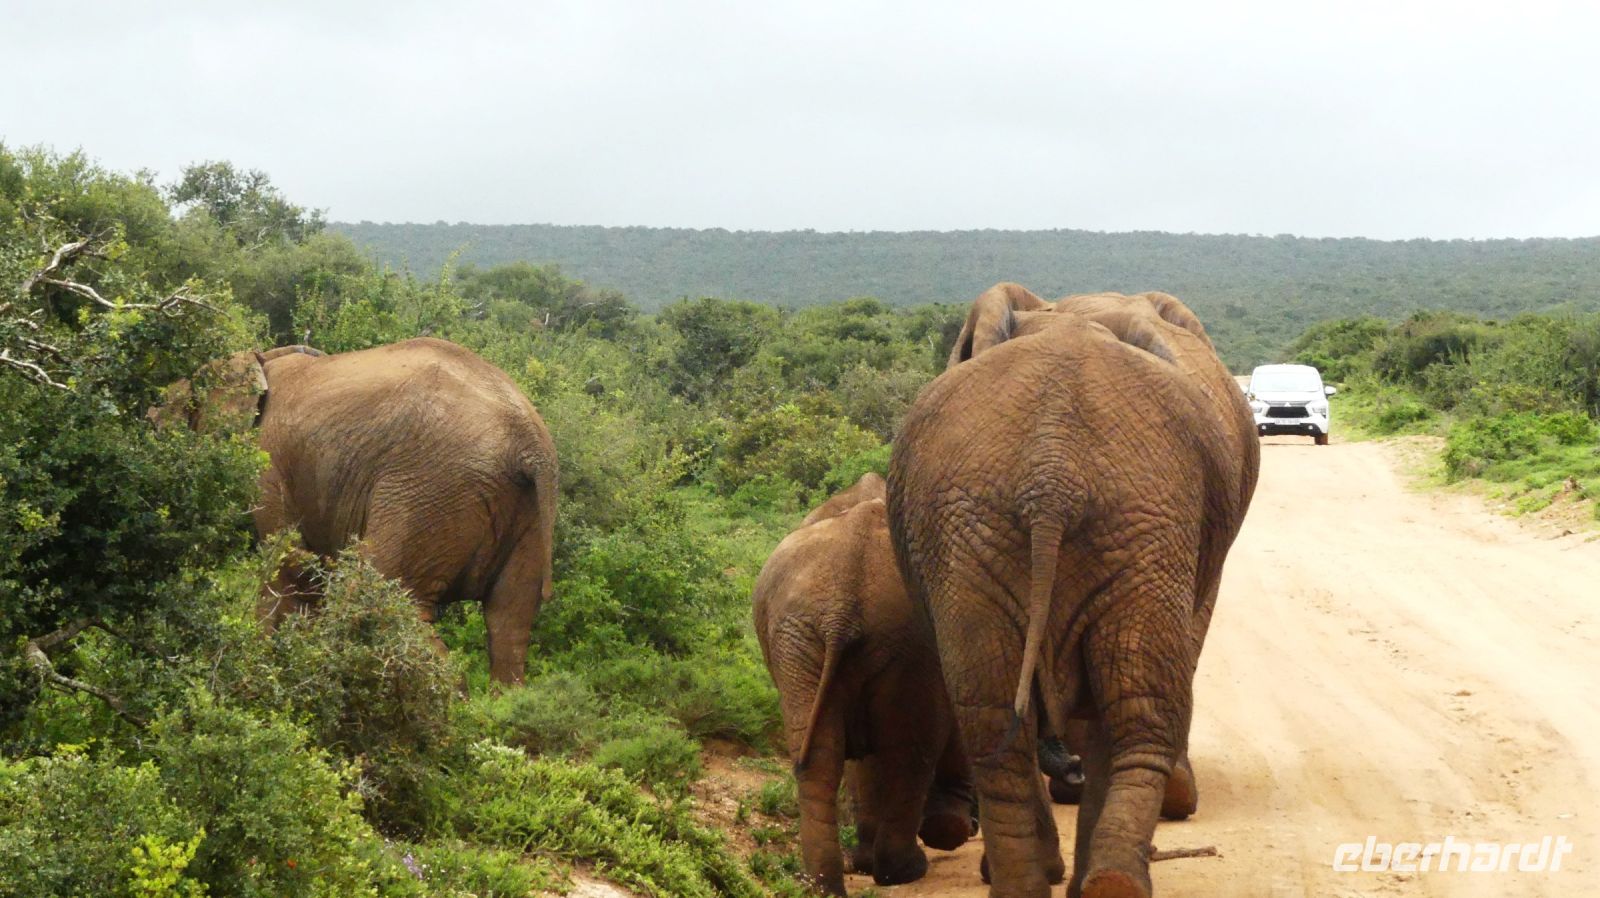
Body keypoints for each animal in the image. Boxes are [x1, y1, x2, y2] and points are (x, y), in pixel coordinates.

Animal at [153, 337, 559, 685]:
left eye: (184, 408)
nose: (151, 415)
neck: (261, 358)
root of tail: (528, 444)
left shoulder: (267, 463)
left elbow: (283, 564)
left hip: (432, 490)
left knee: (388, 598)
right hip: (526, 515)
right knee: (508, 624)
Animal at [753, 473, 975, 896]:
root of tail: (842, 600)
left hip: (800, 640)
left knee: (821, 756)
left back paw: (822, 883)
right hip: (893, 638)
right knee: (910, 753)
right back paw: (905, 869)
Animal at [889, 284, 1258, 898]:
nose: (1070, 771)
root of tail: (1051, 475)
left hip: (987, 529)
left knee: (996, 715)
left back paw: (1048, 882)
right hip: (1124, 522)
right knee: (1132, 705)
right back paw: (1111, 876)